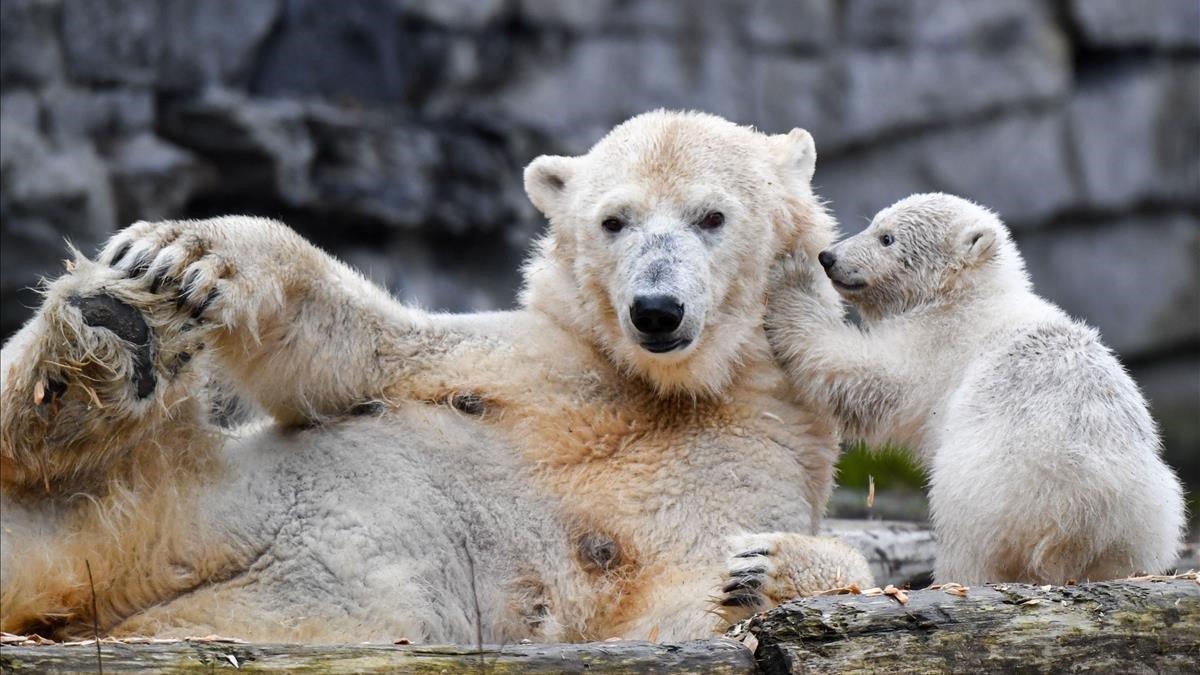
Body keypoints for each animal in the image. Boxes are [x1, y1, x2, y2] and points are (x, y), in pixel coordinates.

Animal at [0, 110, 873, 638]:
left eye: (711, 216)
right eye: (613, 220)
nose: (656, 309)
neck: (665, 387)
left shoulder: (756, 447)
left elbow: (684, 602)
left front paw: (764, 568)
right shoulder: (524, 360)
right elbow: (348, 350)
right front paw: (187, 252)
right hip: (187, 498)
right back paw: (120, 329)